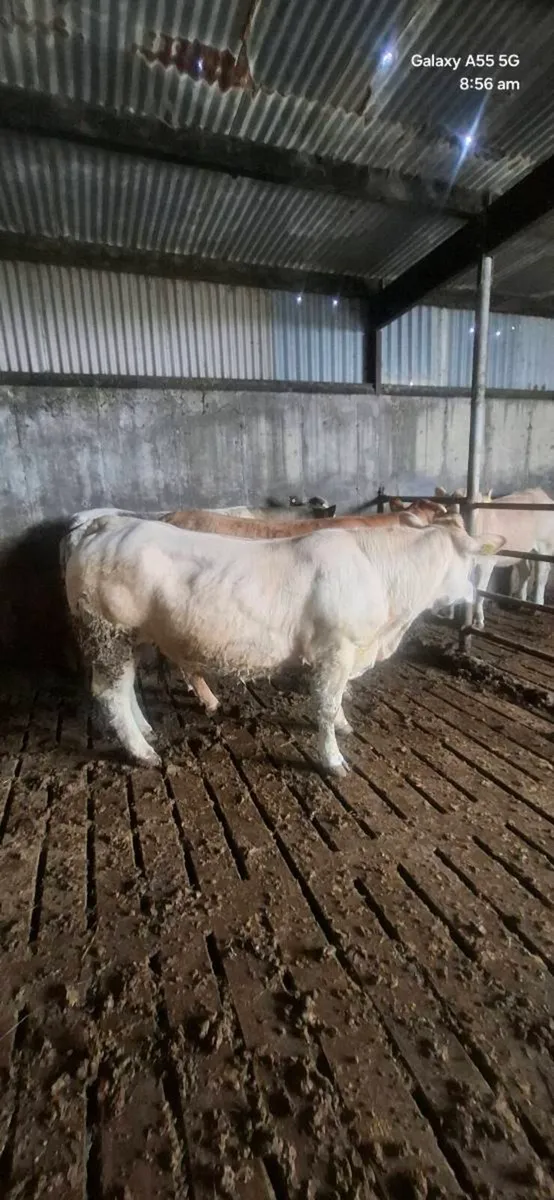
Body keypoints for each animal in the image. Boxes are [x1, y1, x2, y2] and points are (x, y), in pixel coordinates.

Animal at [61, 511, 503, 776]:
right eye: (470, 562)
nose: (474, 595)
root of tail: (106, 525)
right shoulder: (336, 650)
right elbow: (325, 706)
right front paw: (334, 759)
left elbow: (337, 702)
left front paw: (344, 725)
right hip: (109, 630)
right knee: (110, 692)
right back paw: (143, 752)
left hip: (132, 635)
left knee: (125, 687)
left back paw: (146, 730)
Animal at [434, 486, 554, 627]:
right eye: (448, 507)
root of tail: (540, 492)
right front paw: (449, 614)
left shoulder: (486, 564)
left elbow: (479, 590)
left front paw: (478, 620)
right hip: (522, 549)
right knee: (525, 571)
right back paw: (519, 602)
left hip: (544, 545)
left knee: (542, 573)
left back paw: (537, 607)